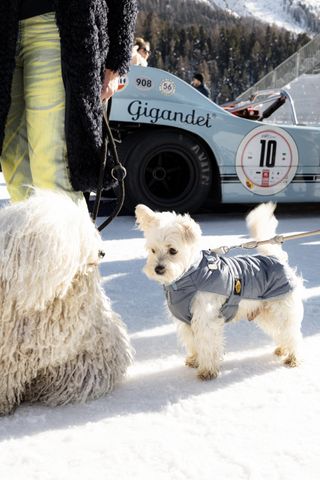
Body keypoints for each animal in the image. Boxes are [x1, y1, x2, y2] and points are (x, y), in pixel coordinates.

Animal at [136, 202, 304, 378]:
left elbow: (207, 345)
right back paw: (282, 349)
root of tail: (276, 258)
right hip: (266, 313)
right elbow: (194, 343)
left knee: (292, 334)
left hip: (282, 311)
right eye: (153, 250)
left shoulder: (206, 319)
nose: (158, 269)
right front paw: (195, 360)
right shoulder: (188, 322)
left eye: (173, 250)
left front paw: (207, 371)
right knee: (281, 333)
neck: (188, 274)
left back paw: (293, 358)